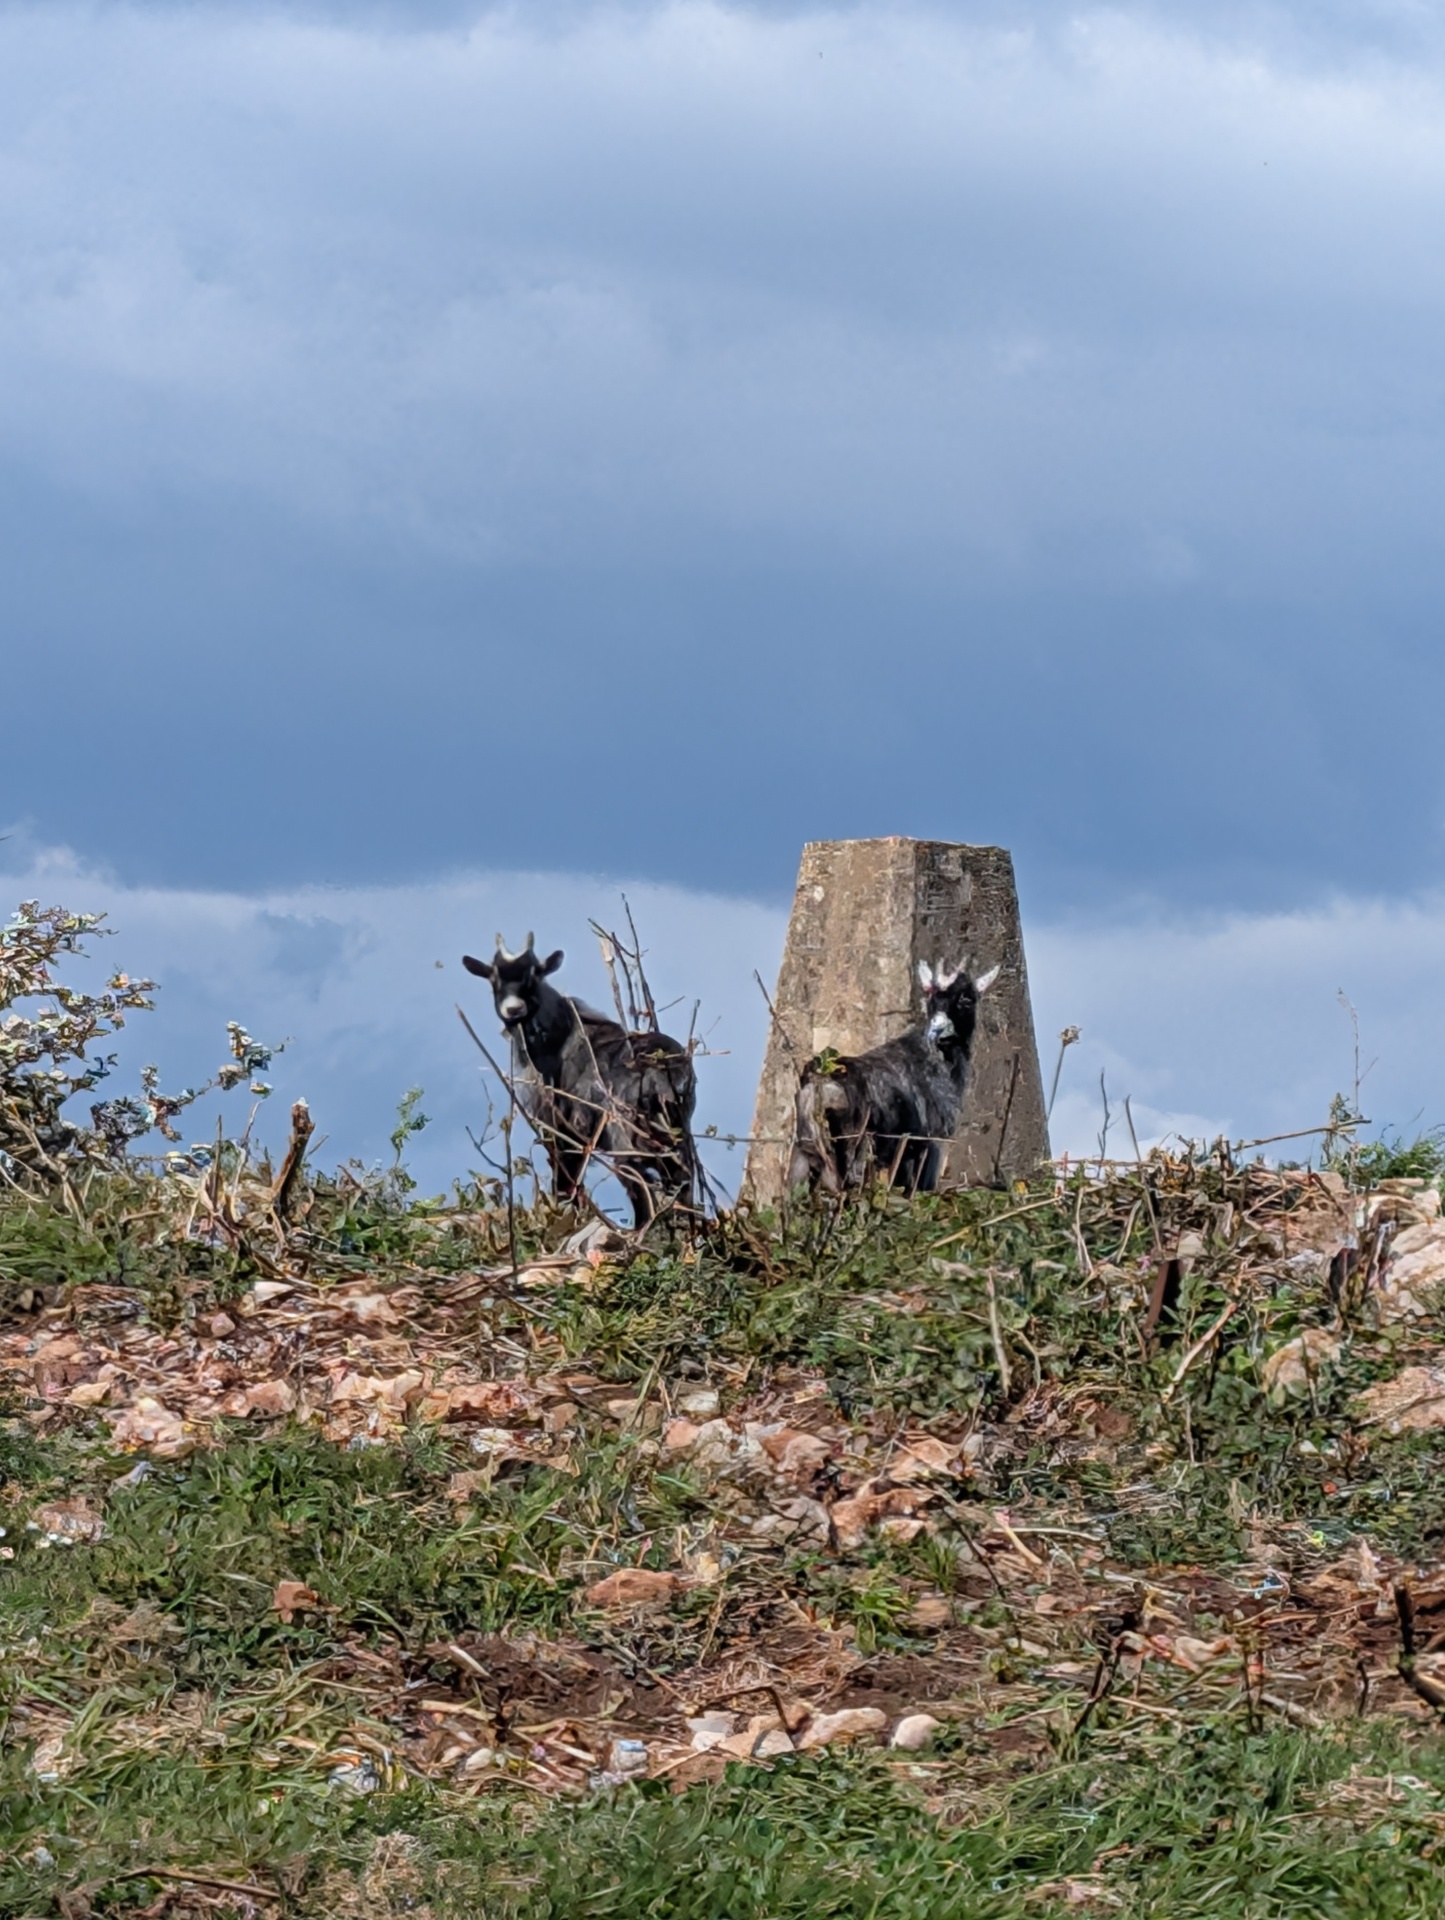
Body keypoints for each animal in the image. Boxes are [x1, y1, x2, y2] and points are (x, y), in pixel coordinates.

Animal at [462, 933, 697, 1229]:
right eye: (493, 978)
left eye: (534, 975)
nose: (513, 1009)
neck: (557, 1038)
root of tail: (664, 1073)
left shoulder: (561, 1126)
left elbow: (565, 1179)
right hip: (676, 1134)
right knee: (681, 1181)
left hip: (625, 1135)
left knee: (640, 1184)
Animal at [787, 959, 1000, 1196]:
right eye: (932, 999)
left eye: (966, 998)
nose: (935, 1032)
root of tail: (819, 1086)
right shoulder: (932, 1143)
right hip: (851, 1155)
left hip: (804, 1156)